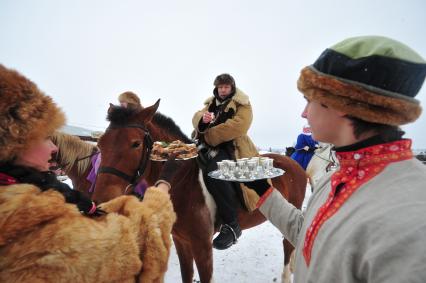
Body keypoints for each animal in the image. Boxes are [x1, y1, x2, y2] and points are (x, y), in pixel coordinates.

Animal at [93, 101, 306, 283]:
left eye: (135, 143)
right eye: (101, 144)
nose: (102, 201)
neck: (184, 182)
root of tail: (295, 164)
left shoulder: (202, 247)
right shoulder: (181, 242)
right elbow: (186, 275)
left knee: (288, 248)